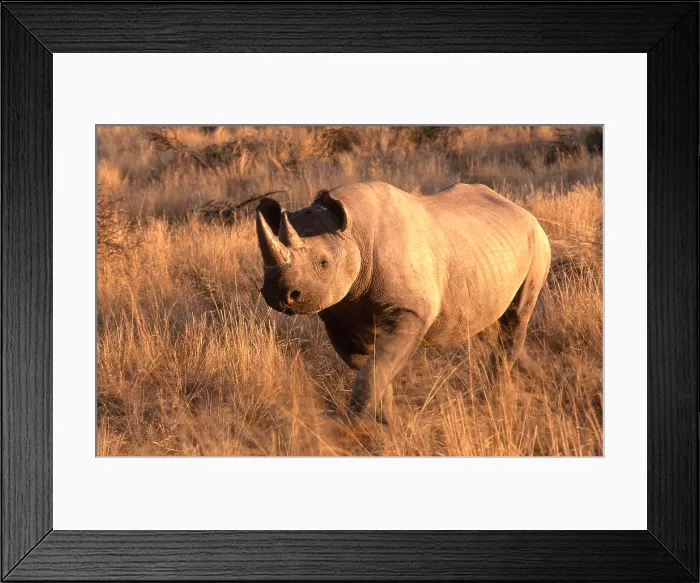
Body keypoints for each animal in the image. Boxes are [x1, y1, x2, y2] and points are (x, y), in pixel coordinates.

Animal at [256, 181, 551, 423]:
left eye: (323, 263)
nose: (281, 295)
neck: (355, 235)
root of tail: (522, 210)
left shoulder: (411, 312)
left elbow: (373, 373)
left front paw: (355, 429)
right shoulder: (338, 316)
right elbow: (373, 371)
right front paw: (385, 423)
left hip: (537, 242)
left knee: (516, 317)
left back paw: (498, 400)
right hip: (486, 254)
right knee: (489, 325)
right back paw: (534, 378)